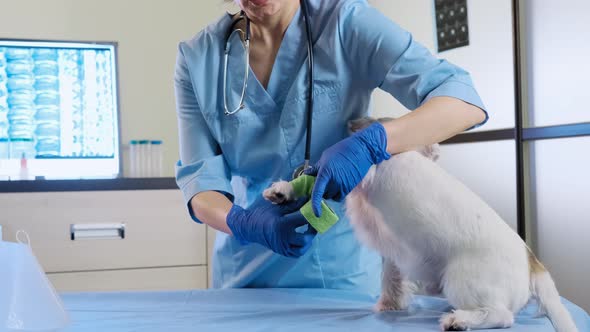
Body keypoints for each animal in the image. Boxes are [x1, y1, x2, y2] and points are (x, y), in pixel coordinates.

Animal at [266, 117, 580, 332]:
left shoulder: (354, 173)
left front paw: (284, 190)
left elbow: (313, 180)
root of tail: (533, 263)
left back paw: (458, 320)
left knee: (502, 317)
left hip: (461, 281)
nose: (350, 123)